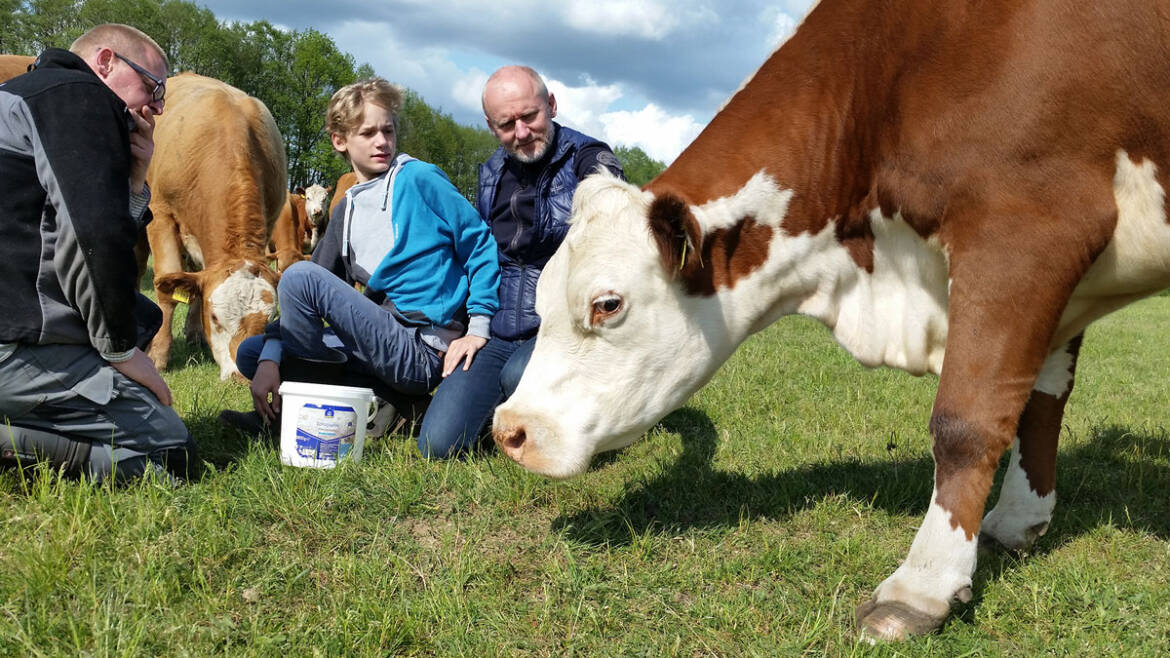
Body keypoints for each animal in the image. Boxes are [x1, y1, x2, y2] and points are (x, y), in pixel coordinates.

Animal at [145, 71, 284, 379]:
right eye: (215, 317)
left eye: (269, 321)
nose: (242, 376)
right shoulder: (160, 214)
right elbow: (166, 290)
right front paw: (157, 355)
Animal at [489, 0, 1170, 641]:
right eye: (540, 300)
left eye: (608, 304)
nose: (509, 431)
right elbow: (1041, 403)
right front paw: (1018, 519)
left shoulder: (1028, 229)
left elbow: (966, 420)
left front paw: (923, 585)